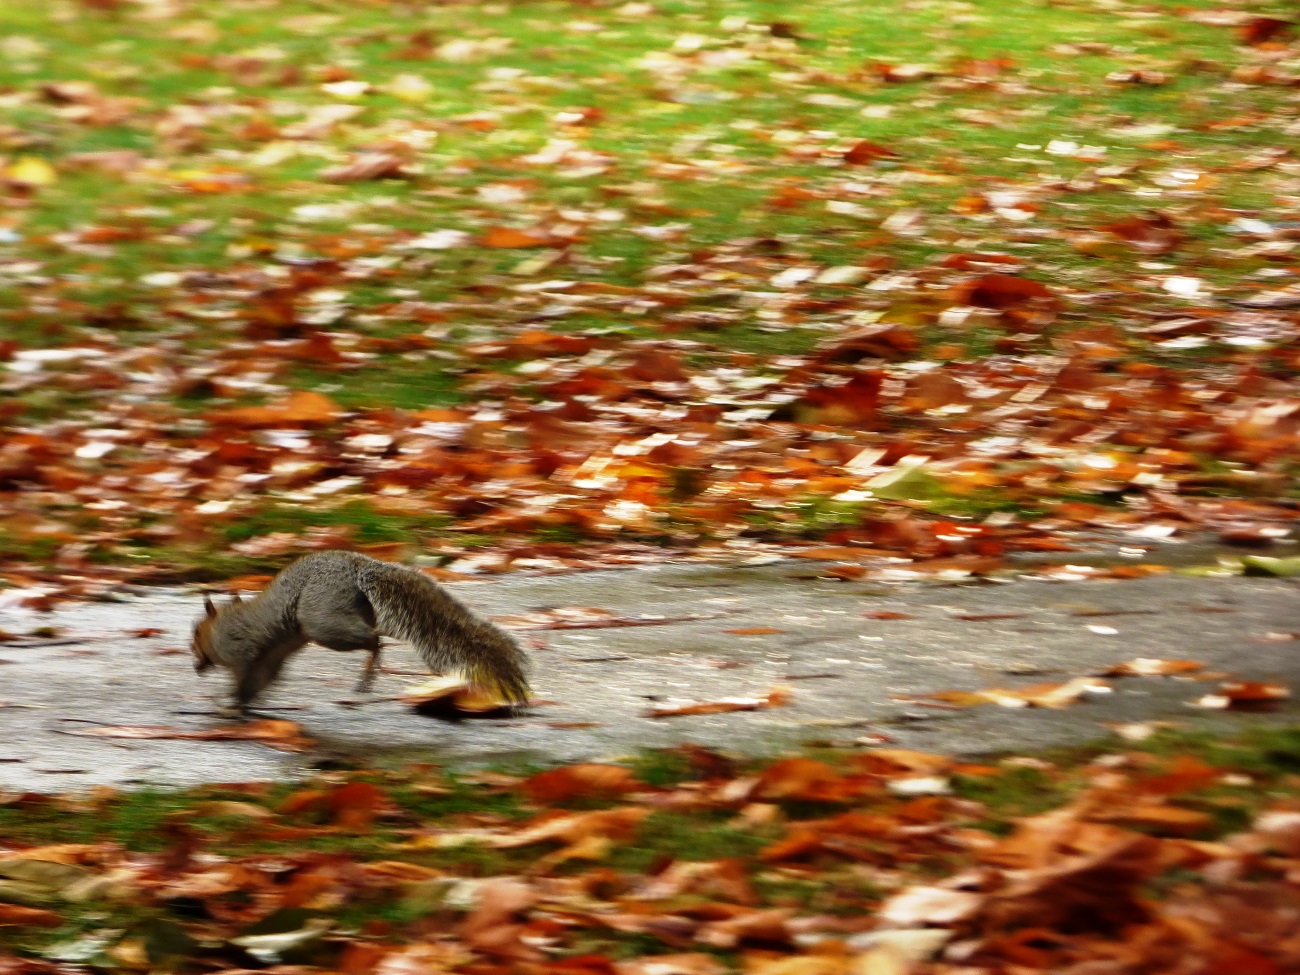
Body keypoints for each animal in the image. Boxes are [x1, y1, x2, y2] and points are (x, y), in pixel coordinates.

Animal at [189, 553, 525, 712]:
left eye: (194, 635)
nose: (195, 663)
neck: (219, 628)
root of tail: (358, 570)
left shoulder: (241, 649)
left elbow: (243, 676)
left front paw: (231, 704)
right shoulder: (269, 657)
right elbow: (260, 679)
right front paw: (244, 703)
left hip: (323, 622)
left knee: (375, 638)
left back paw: (369, 672)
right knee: (376, 634)